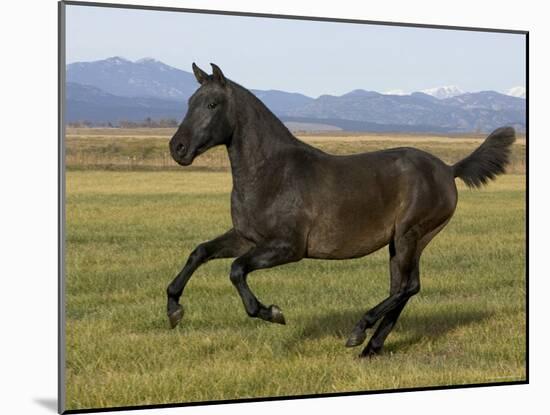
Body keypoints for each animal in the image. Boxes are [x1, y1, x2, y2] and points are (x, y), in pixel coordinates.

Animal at [166, 63, 520, 360]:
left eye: (212, 105)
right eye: (189, 102)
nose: (177, 148)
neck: (272, 174)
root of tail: (448, 169)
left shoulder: (287, 247)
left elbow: (237, 270)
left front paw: (273, 313)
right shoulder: (246, 237)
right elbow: (200, 252)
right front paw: (173, 310)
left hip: (411, 235)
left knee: (407, 287)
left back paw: (358, 332)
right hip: (402, 242)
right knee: (404, 288)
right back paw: (370, 349)